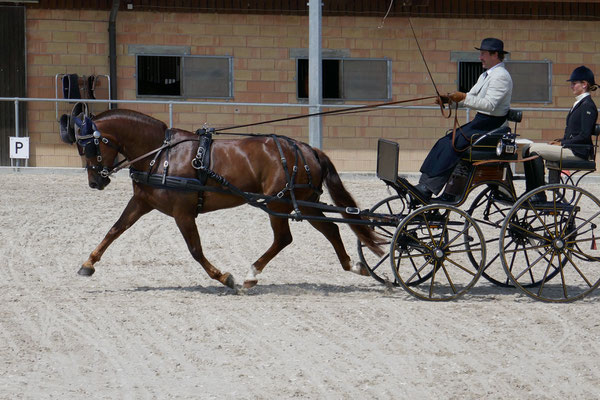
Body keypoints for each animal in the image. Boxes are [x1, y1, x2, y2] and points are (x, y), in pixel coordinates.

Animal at [65, 108, 382, 290]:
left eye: (88, 147)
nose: (95, 182)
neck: (161, 154)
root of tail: (307, 149)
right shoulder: (142, 202)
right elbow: (115, 230)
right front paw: (88, 264)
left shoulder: (183, 212)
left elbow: (195, 249)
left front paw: (223, 277)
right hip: (300, 203)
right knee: (330, 229)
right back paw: (353, 266)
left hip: (279, 203)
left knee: (286, 238)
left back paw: (251, 273)